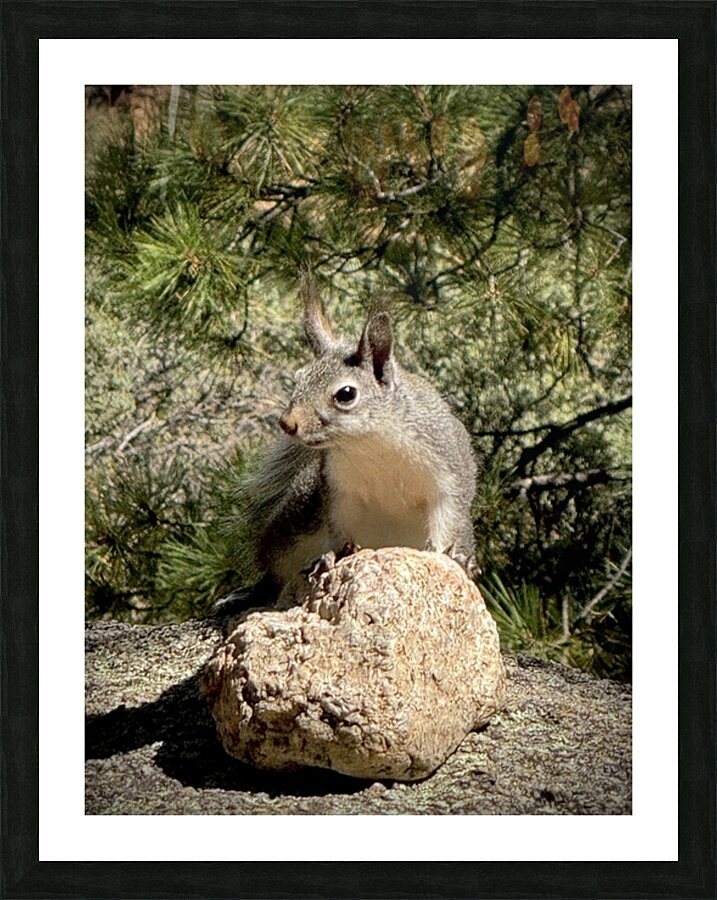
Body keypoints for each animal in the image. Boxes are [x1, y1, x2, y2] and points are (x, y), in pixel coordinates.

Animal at [228, 279, 478, 609]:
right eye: (298, 378)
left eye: (346, 394)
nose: (287, 423)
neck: (371, 444)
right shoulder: (338, 489)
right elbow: (339, 526)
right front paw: (331, 556)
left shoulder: (449, 477)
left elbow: (446, 521)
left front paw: (448, 556)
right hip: (298, 517)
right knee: (275, 576)